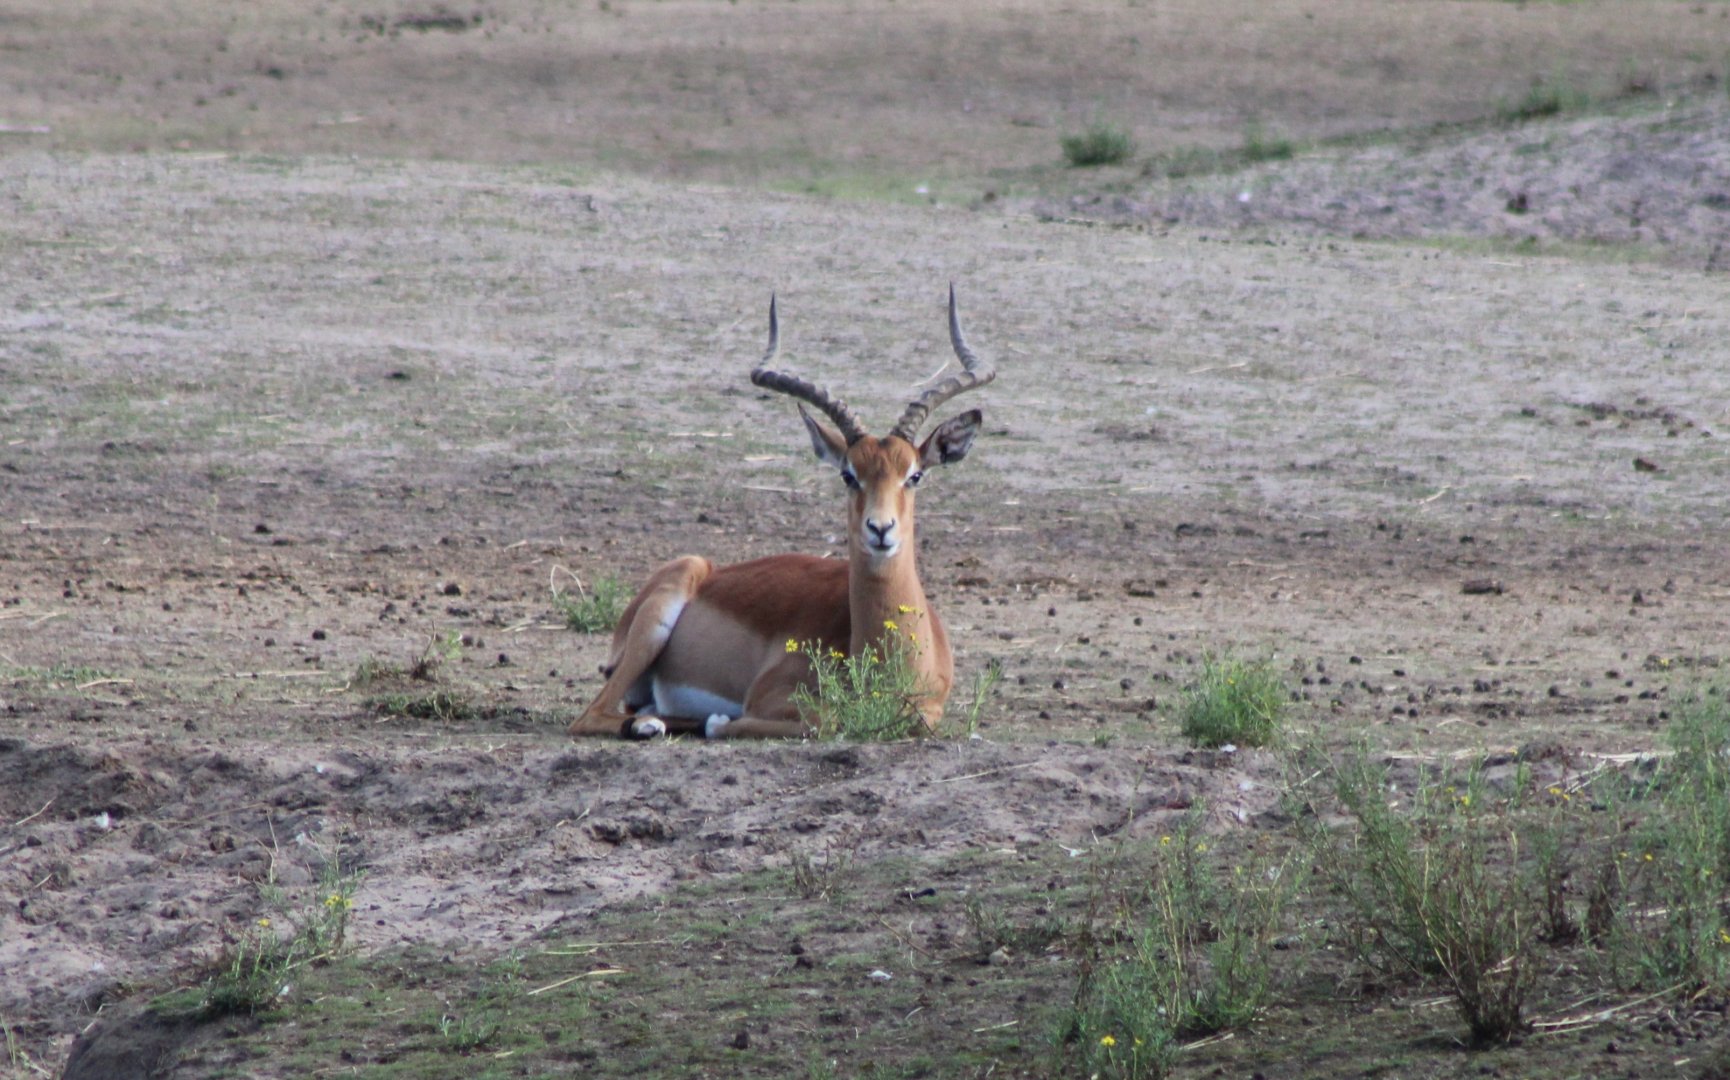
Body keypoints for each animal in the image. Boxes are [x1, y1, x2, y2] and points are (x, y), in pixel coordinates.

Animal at [567, 286, 995, 740]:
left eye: (914, 475)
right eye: (848, 474)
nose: (880, 529)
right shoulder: (768, 699)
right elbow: (817, 721)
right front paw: (717, 720)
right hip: (655, 622)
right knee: (593, 715)